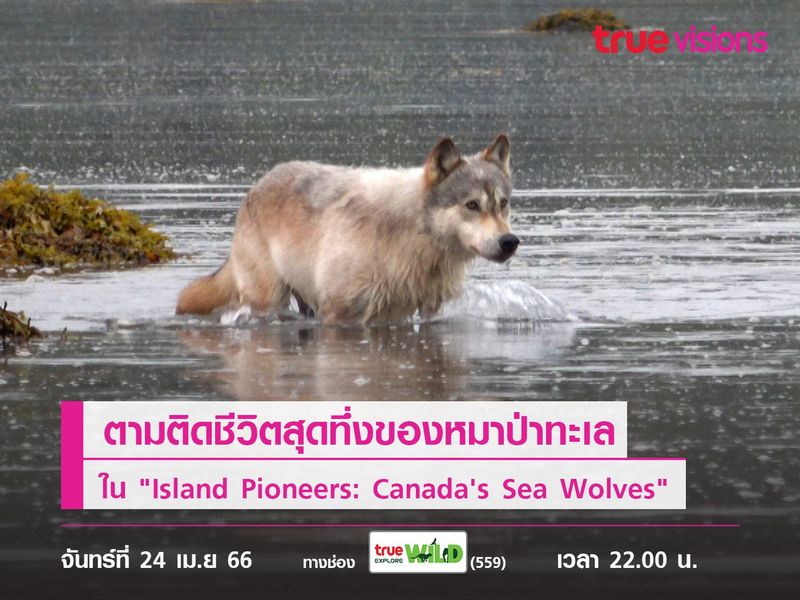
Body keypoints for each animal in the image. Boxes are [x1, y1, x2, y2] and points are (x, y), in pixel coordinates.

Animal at [175, 134, 519, 324]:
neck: (410, 237)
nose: (509, 241)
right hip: (268, 300)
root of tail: (255, 187)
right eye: (471, 205)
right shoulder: (339, 315)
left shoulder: (426, 311)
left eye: (503, 204)